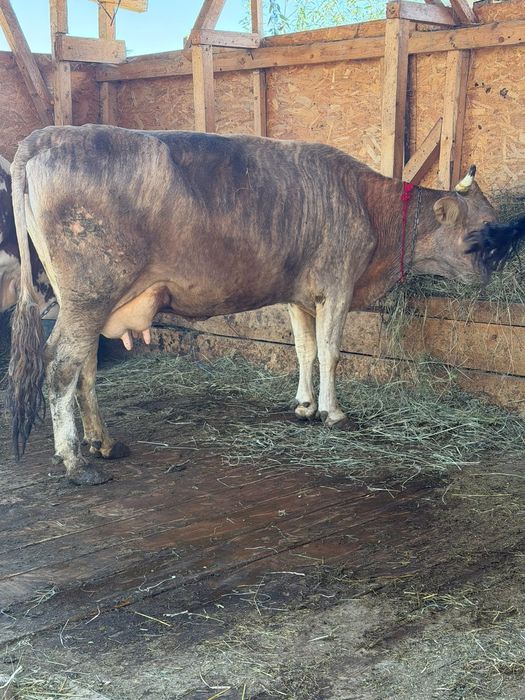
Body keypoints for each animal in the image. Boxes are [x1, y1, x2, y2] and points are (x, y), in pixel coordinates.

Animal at [7, 124, 524, 486]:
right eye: (480, 232)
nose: (494, 272)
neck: (365, 202)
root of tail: (46, 136)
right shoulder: (337, 284)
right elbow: (331, 352)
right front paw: (333, 412)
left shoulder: (300, 295)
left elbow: (305, 349)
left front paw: (304, 404)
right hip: (89, 295)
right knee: (62, 366)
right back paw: (76, 462)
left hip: (89, 301)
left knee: (86, 366)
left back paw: (104, 442)